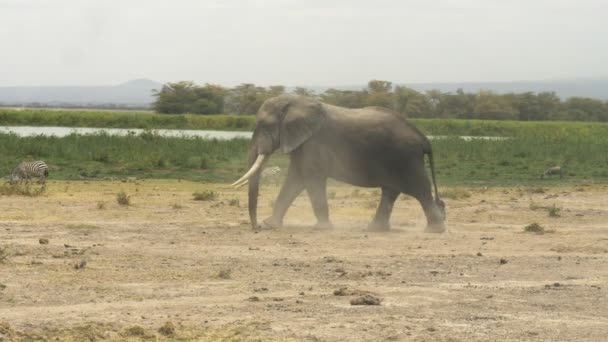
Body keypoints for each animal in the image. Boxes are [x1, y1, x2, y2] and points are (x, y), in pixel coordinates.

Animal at [233, 94, 446, 232]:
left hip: (406, 159)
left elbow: (311, 179)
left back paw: (434, 230)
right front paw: (271, 224)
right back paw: (375, 229)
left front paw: (322, 228)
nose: (256, 227)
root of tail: (423, 138)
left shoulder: (314, 143)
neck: (296, 102)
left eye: (265, 126)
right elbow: (295, 180)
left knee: (420, 190)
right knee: (390, 191)